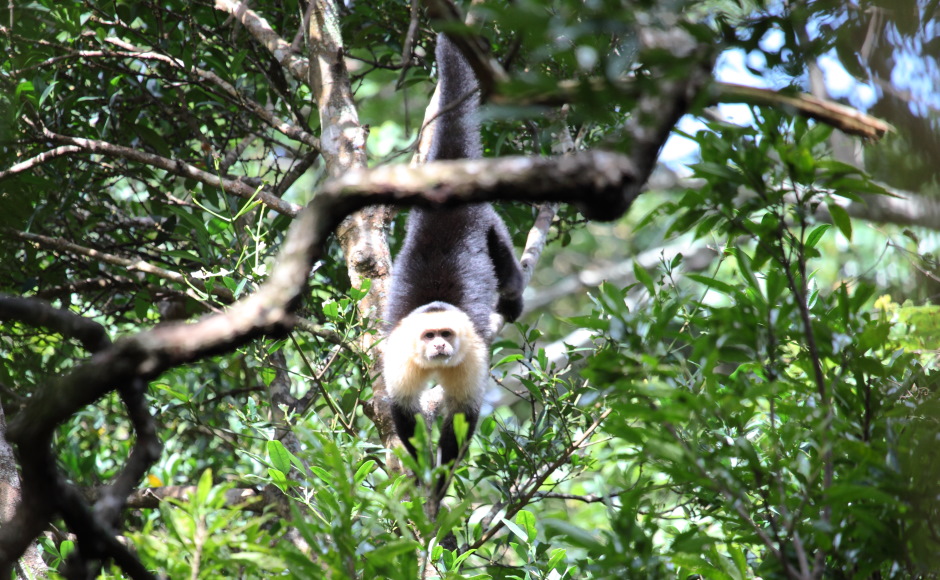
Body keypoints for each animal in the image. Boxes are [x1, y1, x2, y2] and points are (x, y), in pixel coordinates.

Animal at [384, 32, 528, 498]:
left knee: (500, 250)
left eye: (446, 334)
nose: (440, 348)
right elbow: (403, 409)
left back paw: (513, 296)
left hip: (484, 216)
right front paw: (422, 470)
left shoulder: (471, 354)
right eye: (430, 336)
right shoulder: (400, 352)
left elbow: (463, 415)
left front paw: (442, 477)